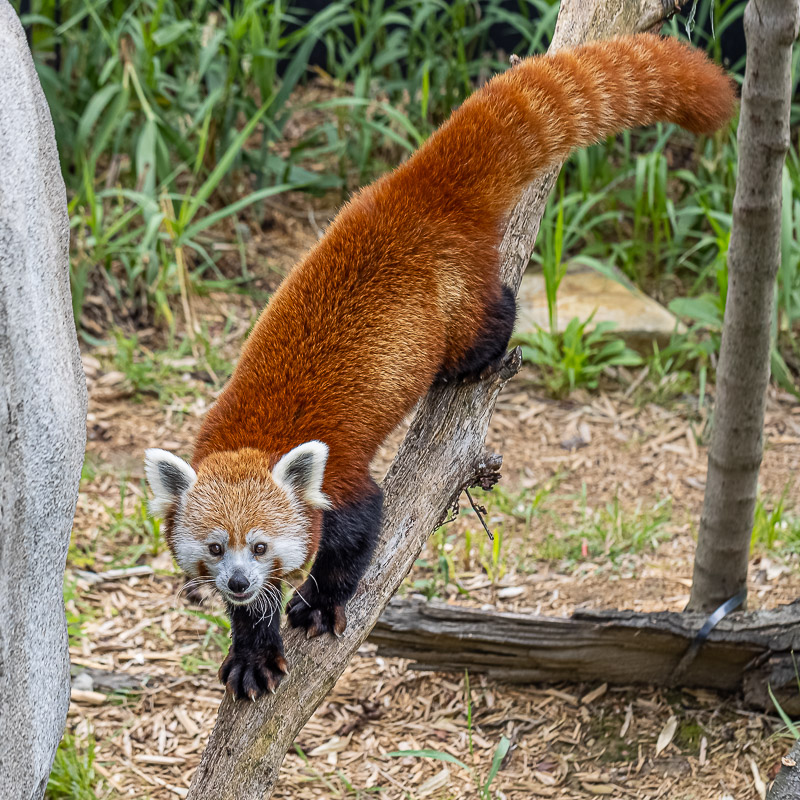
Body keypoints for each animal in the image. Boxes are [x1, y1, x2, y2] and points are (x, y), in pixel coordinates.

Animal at [142, 36, 732, 700]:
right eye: (217, 549)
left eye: (261, 545)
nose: (239, 580)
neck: (255, 437)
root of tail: (413, 192)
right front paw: (251, 648)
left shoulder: (341, 478)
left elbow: (356, 537)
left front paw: (316, 605)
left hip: (460, 306)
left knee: (492, 317)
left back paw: (484, 354)